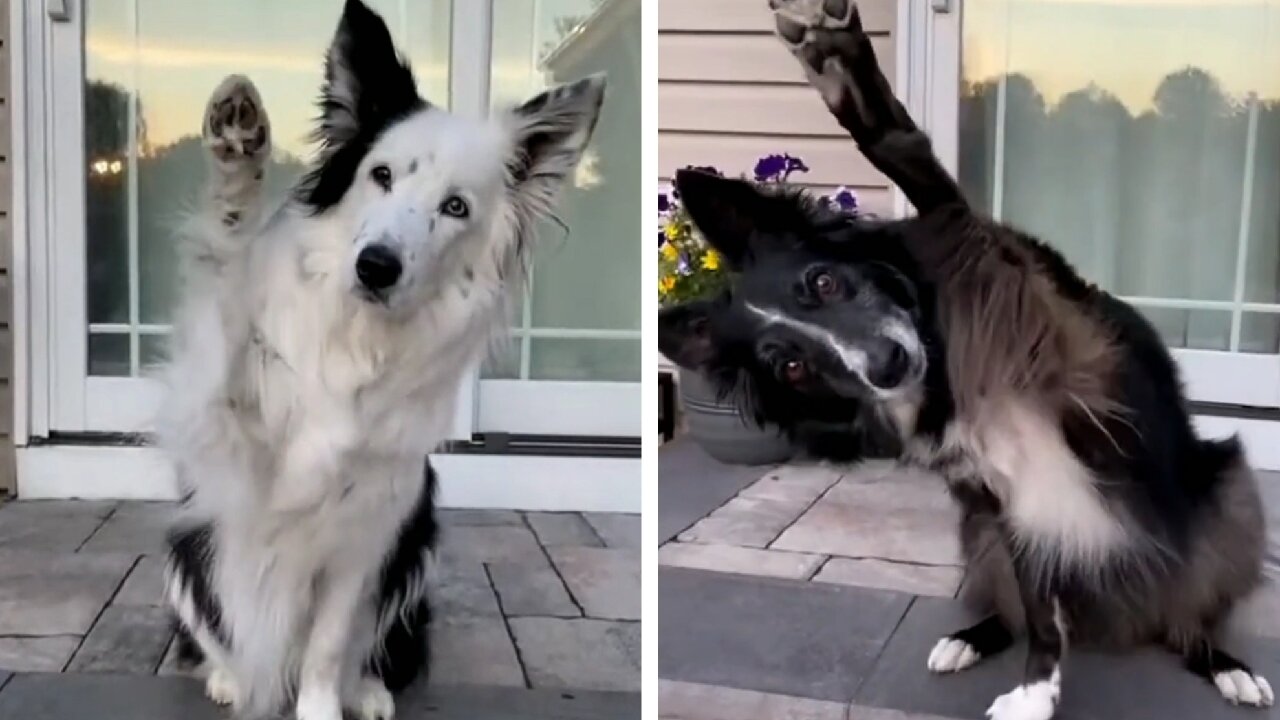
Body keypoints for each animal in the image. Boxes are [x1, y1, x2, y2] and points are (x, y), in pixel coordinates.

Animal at [158, 2, 604, 712]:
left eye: (456, 207)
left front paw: (322, 708)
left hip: (417, 547)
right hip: (185, 549)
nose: (376, 267)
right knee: (208, 630)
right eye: (382, 175)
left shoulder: (366, 534)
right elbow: (225, 270)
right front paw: (237, 146)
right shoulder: (220, 426)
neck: (359, 340)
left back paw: (364, 687)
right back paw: (229, 676)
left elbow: (328, 645)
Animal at [665, 2, 1274, 712]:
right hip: (978, 532)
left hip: (1227, 500)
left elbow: (945, 202)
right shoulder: (1008, 508)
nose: (888, 365)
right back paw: (974, 637)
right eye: (791, 367)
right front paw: (1037, 692)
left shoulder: (1068, 338)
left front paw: (839, 66)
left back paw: (1223, 664)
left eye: (824, 281)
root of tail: (1119, 619)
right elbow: (1040, 613)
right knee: (1024, 610)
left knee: (1190, 619)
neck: (948, 373)